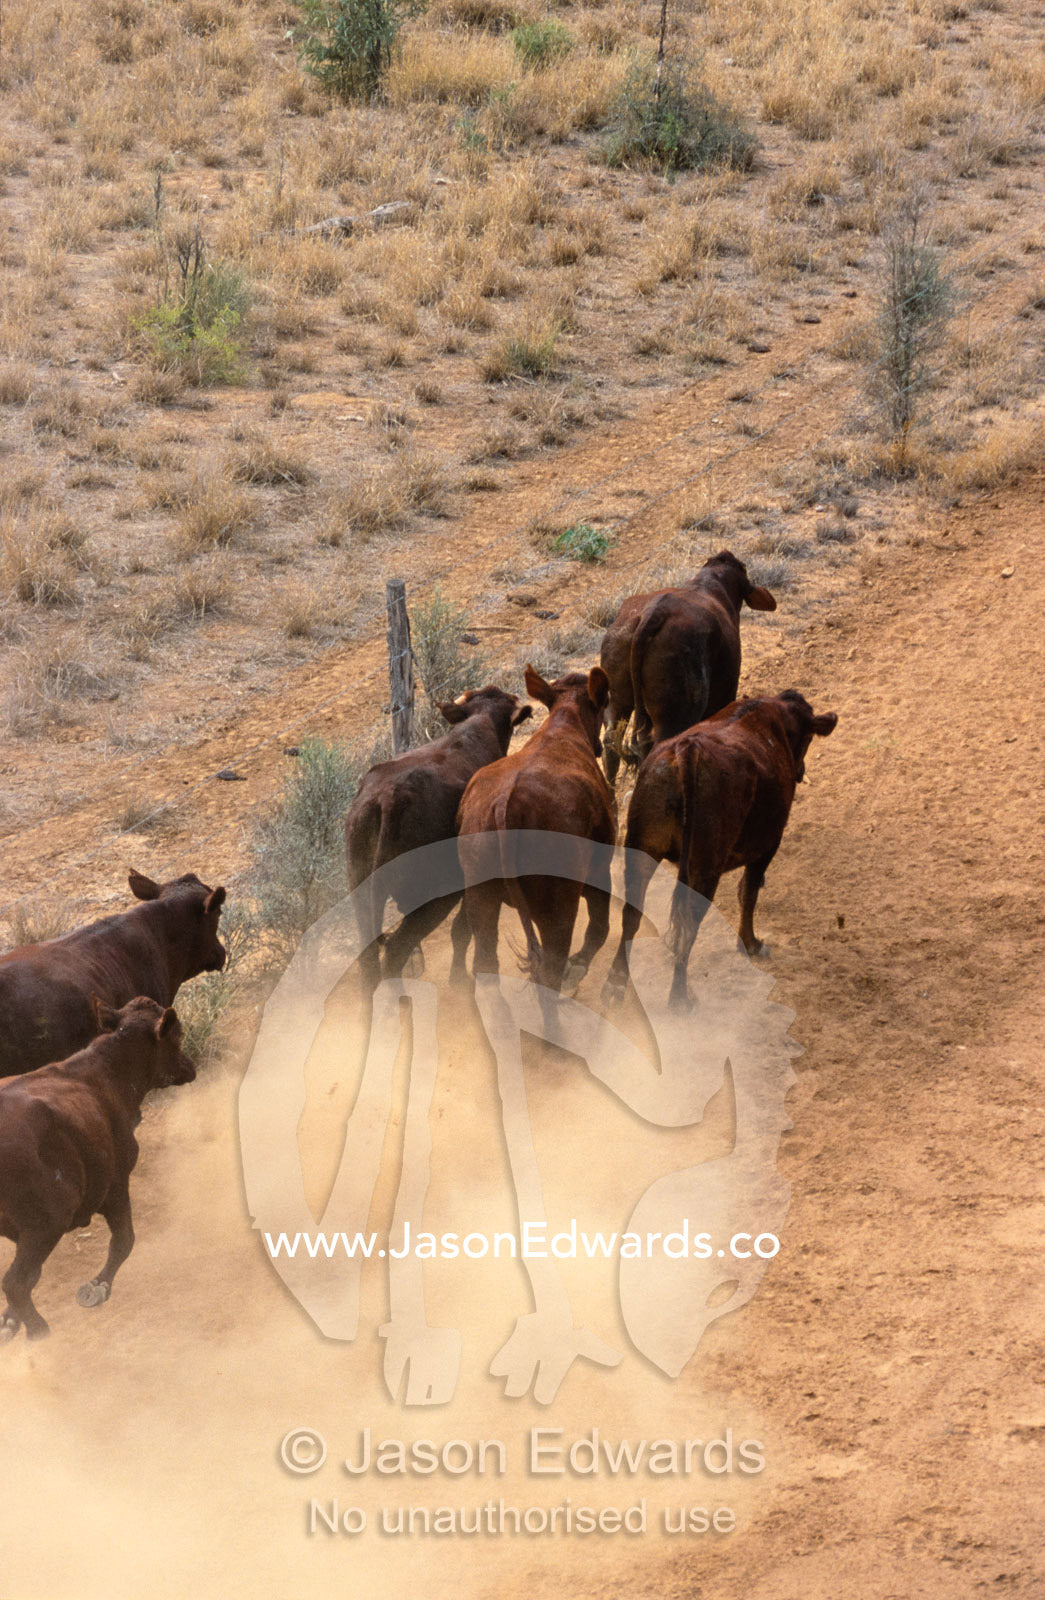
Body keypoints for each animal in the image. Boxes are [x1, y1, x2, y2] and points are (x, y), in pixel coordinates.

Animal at [0, 995, 196, 1342]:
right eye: (177, 1036)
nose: (191, 1067)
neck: (104, 1075)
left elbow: (35, 1274)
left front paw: (9, 1319)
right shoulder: (115, 1187)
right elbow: (124, 1240)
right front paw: (97, 1287)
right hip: (47, 1223)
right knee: (14, 1282)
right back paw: (39, 1331)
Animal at [345, 685, 532, 983]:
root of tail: (388, 798)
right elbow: (463, 930)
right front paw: (459, 980)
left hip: (361, 893)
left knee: (370, 961)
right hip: (434, 898)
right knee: (396, 950)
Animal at [457, 666, 617, 993]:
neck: (564, 724)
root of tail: (504, 804)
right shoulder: (599, 868)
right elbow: (599, 928)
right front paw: (578, 967)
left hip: (480, 897)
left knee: (485, 964)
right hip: (556, 909)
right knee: (551, 969)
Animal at [606, 691, 838, 1006]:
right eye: (809, 738)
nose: (800, 771)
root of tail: (686, 751)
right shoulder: (768, 845)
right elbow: (749, 893)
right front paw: (751, 944)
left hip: (641, 849)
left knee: (632, 913)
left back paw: (616, 982)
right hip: (704, 870)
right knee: (688, 926)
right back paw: (679, 998)